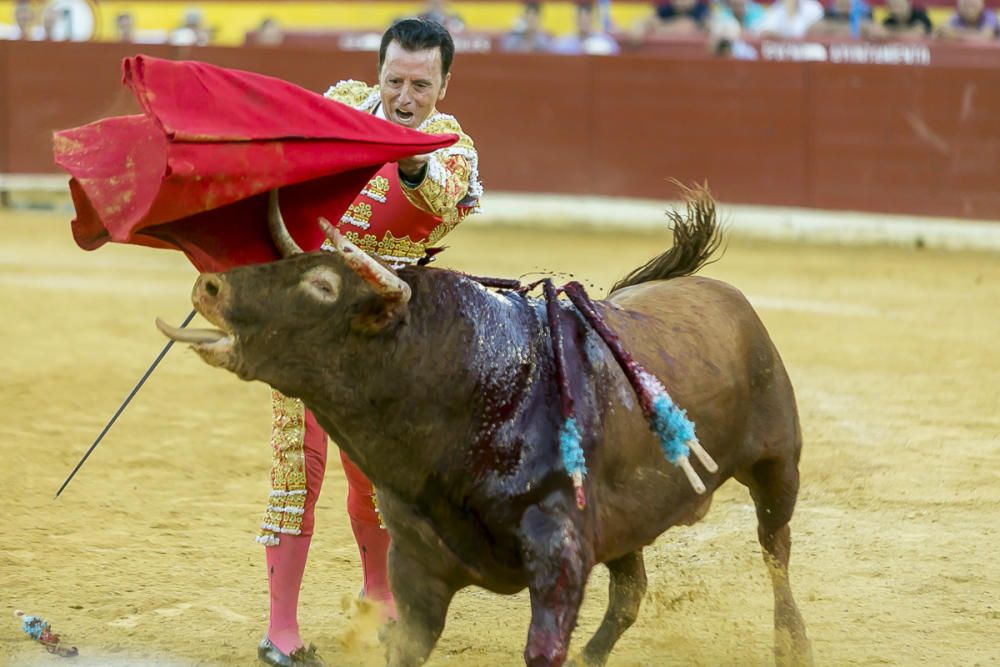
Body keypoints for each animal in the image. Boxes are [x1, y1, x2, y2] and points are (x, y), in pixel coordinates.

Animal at [156, 188, 812, 667]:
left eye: (323, 285)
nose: (211, 284)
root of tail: (718, 290)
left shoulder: (558, 557)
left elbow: (542, 649)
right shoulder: (418, 568)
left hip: (778, 465)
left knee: (774, 549)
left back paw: (793, 645)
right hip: (628, 521)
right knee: (630, 593)